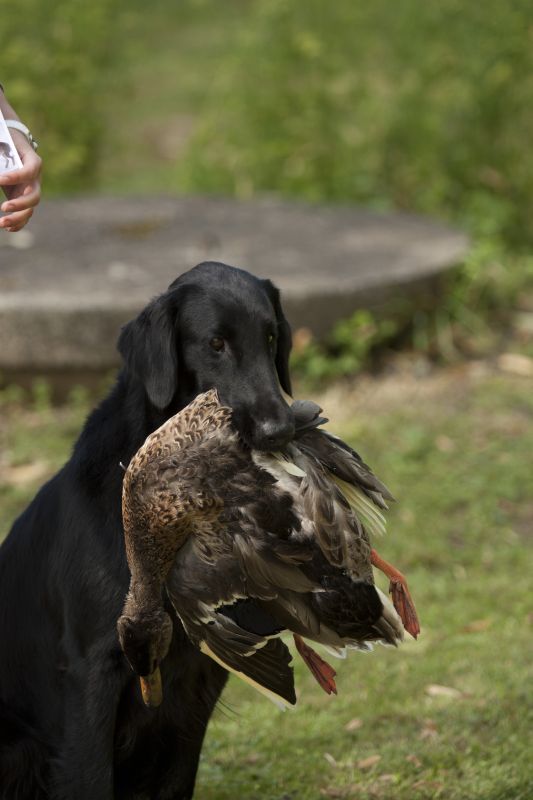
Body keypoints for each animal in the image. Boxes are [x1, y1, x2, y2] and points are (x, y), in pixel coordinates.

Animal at [0, 260, 296, 796]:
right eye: (215, 344)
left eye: (270, 337)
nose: (279, 431)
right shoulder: (93, 670)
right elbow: (89, 779)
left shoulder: (198, 674)